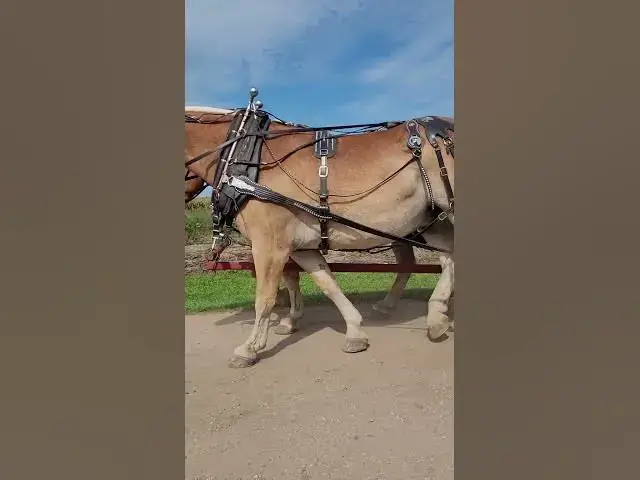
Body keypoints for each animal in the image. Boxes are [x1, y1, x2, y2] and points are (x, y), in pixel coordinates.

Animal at [185, 94, 454, 368]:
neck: (246, 157)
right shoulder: (301, 247)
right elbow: (327, 282)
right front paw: (354, 331)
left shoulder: (270, 244)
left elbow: (265, 298)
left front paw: (249, 348)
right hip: (431, 218)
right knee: (447, 257)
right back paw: (436, 315)